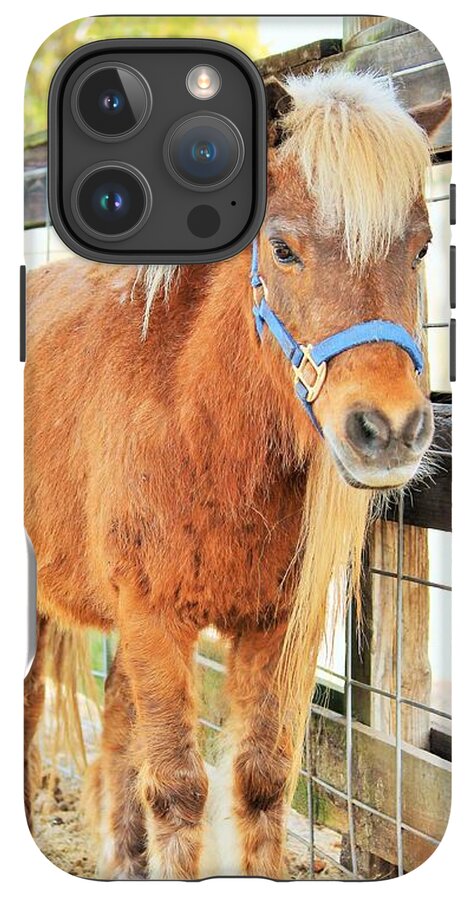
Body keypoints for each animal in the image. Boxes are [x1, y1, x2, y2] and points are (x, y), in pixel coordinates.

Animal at [24, 68, 451, 879]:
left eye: (420, 249)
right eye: (281, 249)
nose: (389, 432)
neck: (198, 426)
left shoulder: (276, 627)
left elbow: (261, 780)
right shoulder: (153, 616)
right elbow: (178, 789)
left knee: (115, 725)